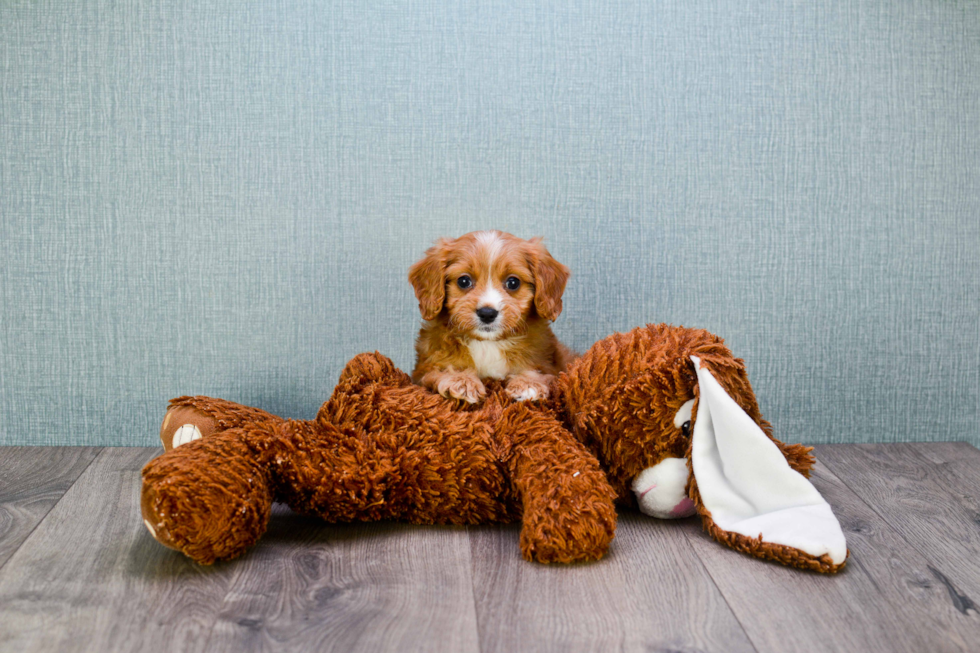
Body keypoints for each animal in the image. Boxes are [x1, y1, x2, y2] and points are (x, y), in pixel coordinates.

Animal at [406, 229, 576, 402]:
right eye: (463, 281)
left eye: (513, 282)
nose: (487, 313)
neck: (488, 343)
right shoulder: (423, 370)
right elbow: (441, 370)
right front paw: (461, 381)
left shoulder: (550, 366)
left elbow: (538, 371)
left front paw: (528, 384)